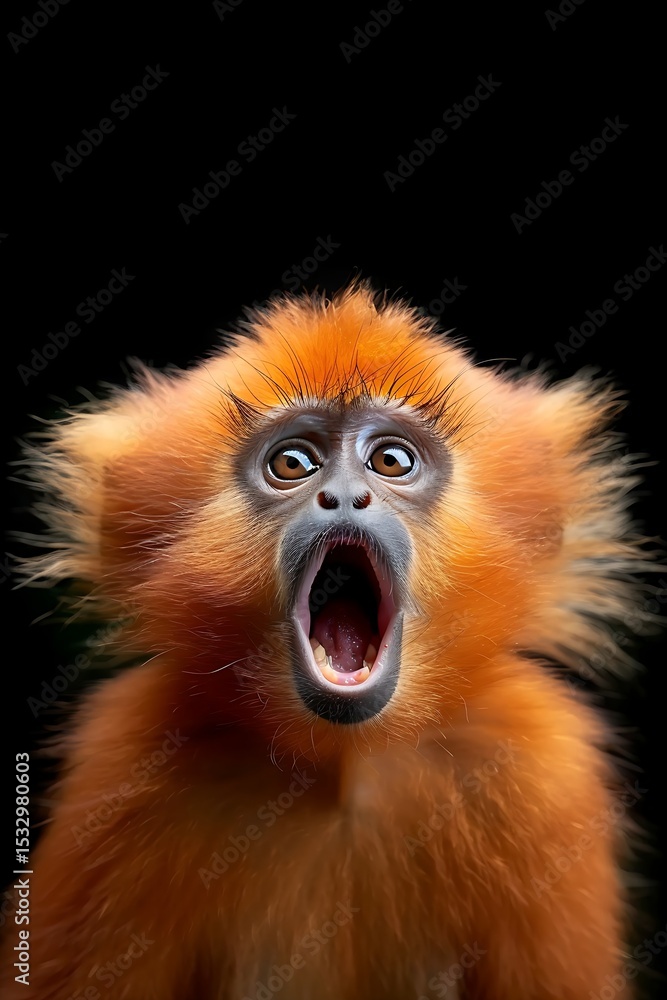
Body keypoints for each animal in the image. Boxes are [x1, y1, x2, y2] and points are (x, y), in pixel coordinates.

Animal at [1, 282, 659, 999]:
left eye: (390, 461)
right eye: (293, 463)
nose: (345, 496)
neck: (345, 772)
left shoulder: (540, 765)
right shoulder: (124, 768)